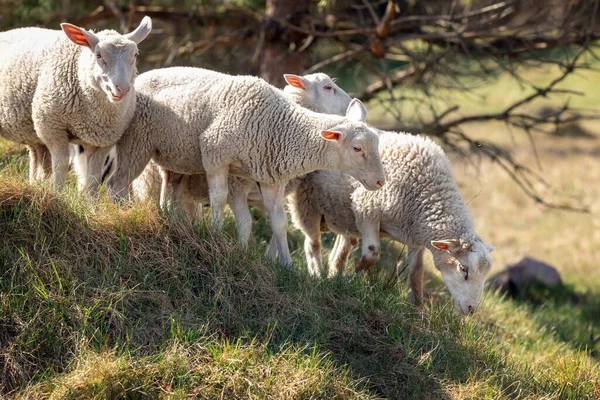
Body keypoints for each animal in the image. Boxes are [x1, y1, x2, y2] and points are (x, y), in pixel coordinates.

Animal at [0, 17, 152, 194]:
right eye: (98, 55)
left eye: (135, 55)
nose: (121, 89)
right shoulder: (52, 127)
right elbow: (61, 164)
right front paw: (57, 194)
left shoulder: (104, 140)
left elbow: (94, 175)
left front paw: (91, 201)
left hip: (33, 134)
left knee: (37, 157)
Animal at [106, 67, 386, 268]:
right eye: (357, 148)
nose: (381, 182)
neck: (279, 124)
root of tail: (143, 74)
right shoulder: (217, 155)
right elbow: (225, 204)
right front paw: (219, 238)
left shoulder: (270, 178)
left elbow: (277, 223)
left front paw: (284, 265)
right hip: (137, 142)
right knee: (117, 184)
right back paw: (119, 215)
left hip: (173, 161)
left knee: (167, 199)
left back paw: (173, 225)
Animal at [288, 132, 494, 316]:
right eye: (463, 269)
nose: (471, 310)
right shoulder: (366, 208)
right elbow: (372, 253)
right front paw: (351, 279)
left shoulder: (415, 238)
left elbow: (417, 275)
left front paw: (418, 310)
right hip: (306, 201)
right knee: (312, 244)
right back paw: (317, 274)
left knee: (337, 251)